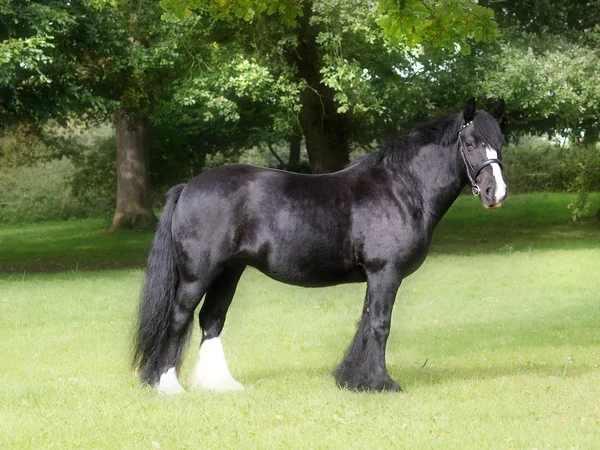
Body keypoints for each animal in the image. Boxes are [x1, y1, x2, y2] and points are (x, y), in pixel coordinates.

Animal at [132, 98, 506, 394]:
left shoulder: (376, 276)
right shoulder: (385, 272)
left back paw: (220, 385)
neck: (400, 188)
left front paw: (354, 379)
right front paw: (381, 383)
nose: (496, 193)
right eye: (470, 142)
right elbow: (380, 325)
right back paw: (167, 385)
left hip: (229, 271)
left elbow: (366, 322)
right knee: (178, 318)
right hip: (198, 275)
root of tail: (188, 186)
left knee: (211, 319)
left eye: (500, 143)